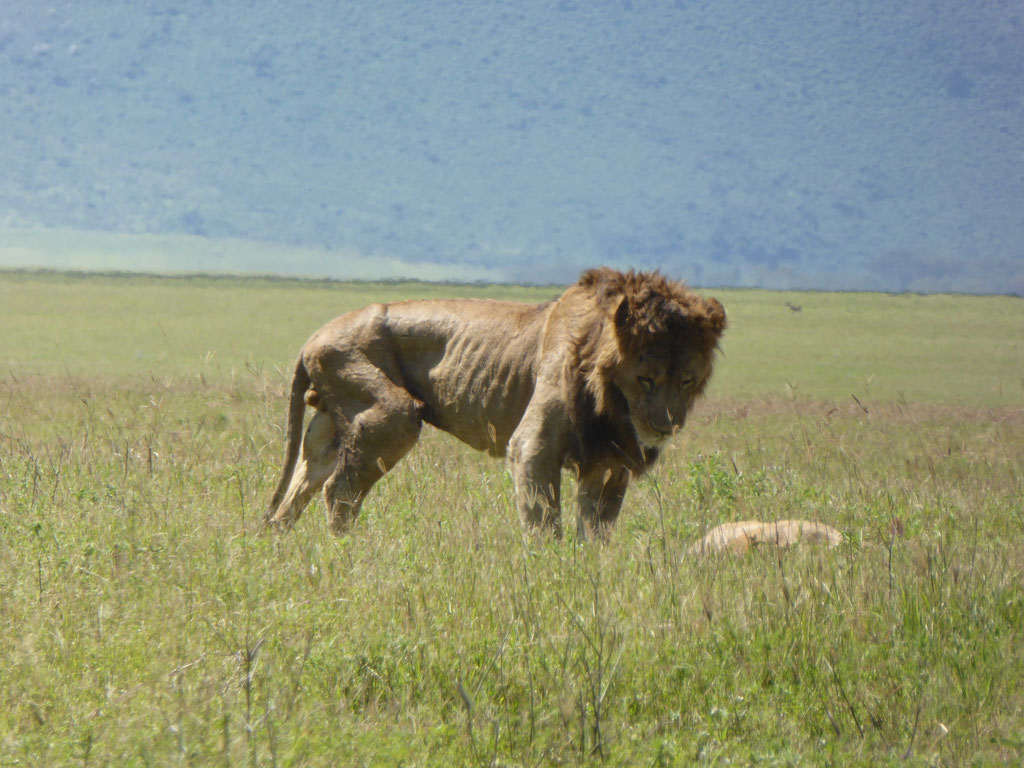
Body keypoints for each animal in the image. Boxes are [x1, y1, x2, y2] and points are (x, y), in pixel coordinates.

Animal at [263, 267, 726, 540]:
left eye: (687, 380)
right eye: (646, 379)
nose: (665, 427)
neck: (612, 405)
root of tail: (313, 337)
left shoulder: (609, 462)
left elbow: (595, 530)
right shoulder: (534, 446)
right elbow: (544, 522)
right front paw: (553, 580)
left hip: (331, 421)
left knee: (302, 482)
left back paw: (281, 548)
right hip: (392, 413)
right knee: (338, 491)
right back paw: (347, 556)